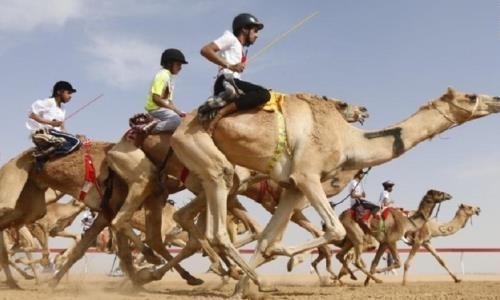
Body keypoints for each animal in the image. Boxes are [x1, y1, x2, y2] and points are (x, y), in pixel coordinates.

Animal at [167, 87, 500, 298]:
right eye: (470, 96)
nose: (496, 99)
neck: (350, 140)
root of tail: (179, 127)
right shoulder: (307, 176)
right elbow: (333, 229)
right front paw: (287, 258)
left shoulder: (293, 187)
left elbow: (267, 239)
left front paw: (242, 289)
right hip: (209, 159)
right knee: (216, 229)